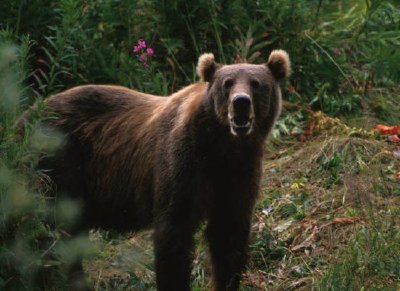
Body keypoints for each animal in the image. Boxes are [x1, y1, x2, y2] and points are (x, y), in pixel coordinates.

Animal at [36, 49, 290, 290]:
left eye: (256, 84)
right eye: (227, 83)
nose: (240, 102)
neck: (221, 145)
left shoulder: (238, 173)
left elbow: (228, 235)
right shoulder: (182, 163)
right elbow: (173, 234)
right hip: (59, 167)